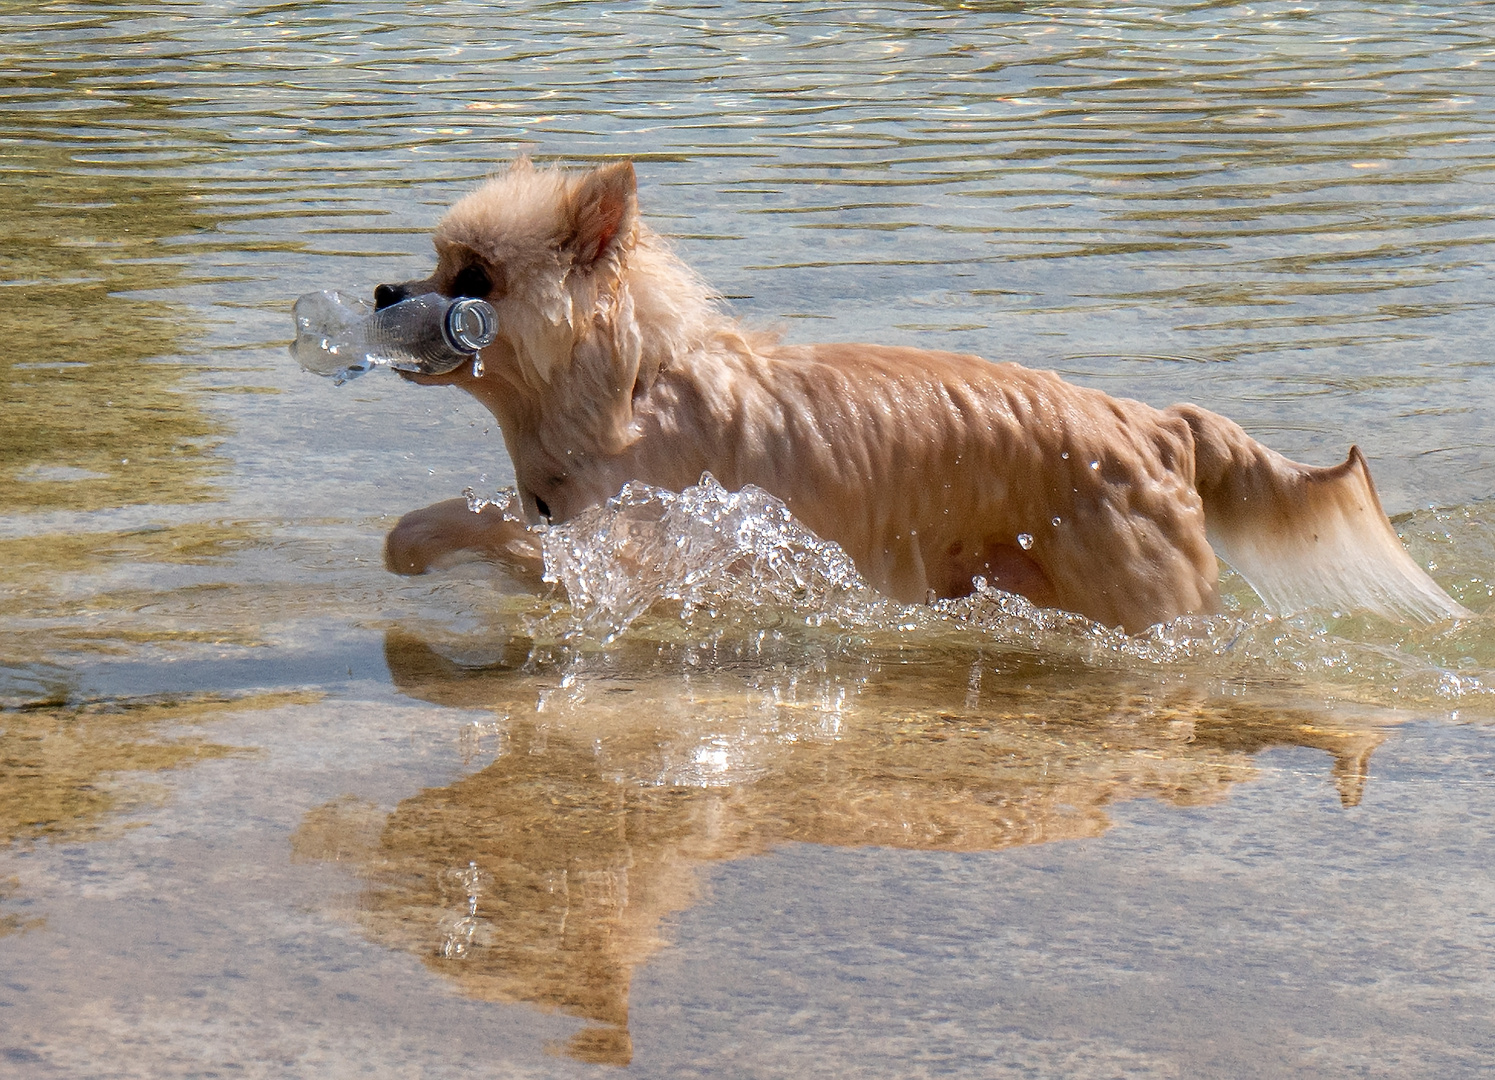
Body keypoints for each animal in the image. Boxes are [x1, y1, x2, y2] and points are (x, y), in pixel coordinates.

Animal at [373, 158, 1459, 631]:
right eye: (435, 262)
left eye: (474, 278)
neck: (628, 395)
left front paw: (416, 544)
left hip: (1140, 595)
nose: (384, 293)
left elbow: (464, 527)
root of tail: (1156, 424)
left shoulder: (638, 548)